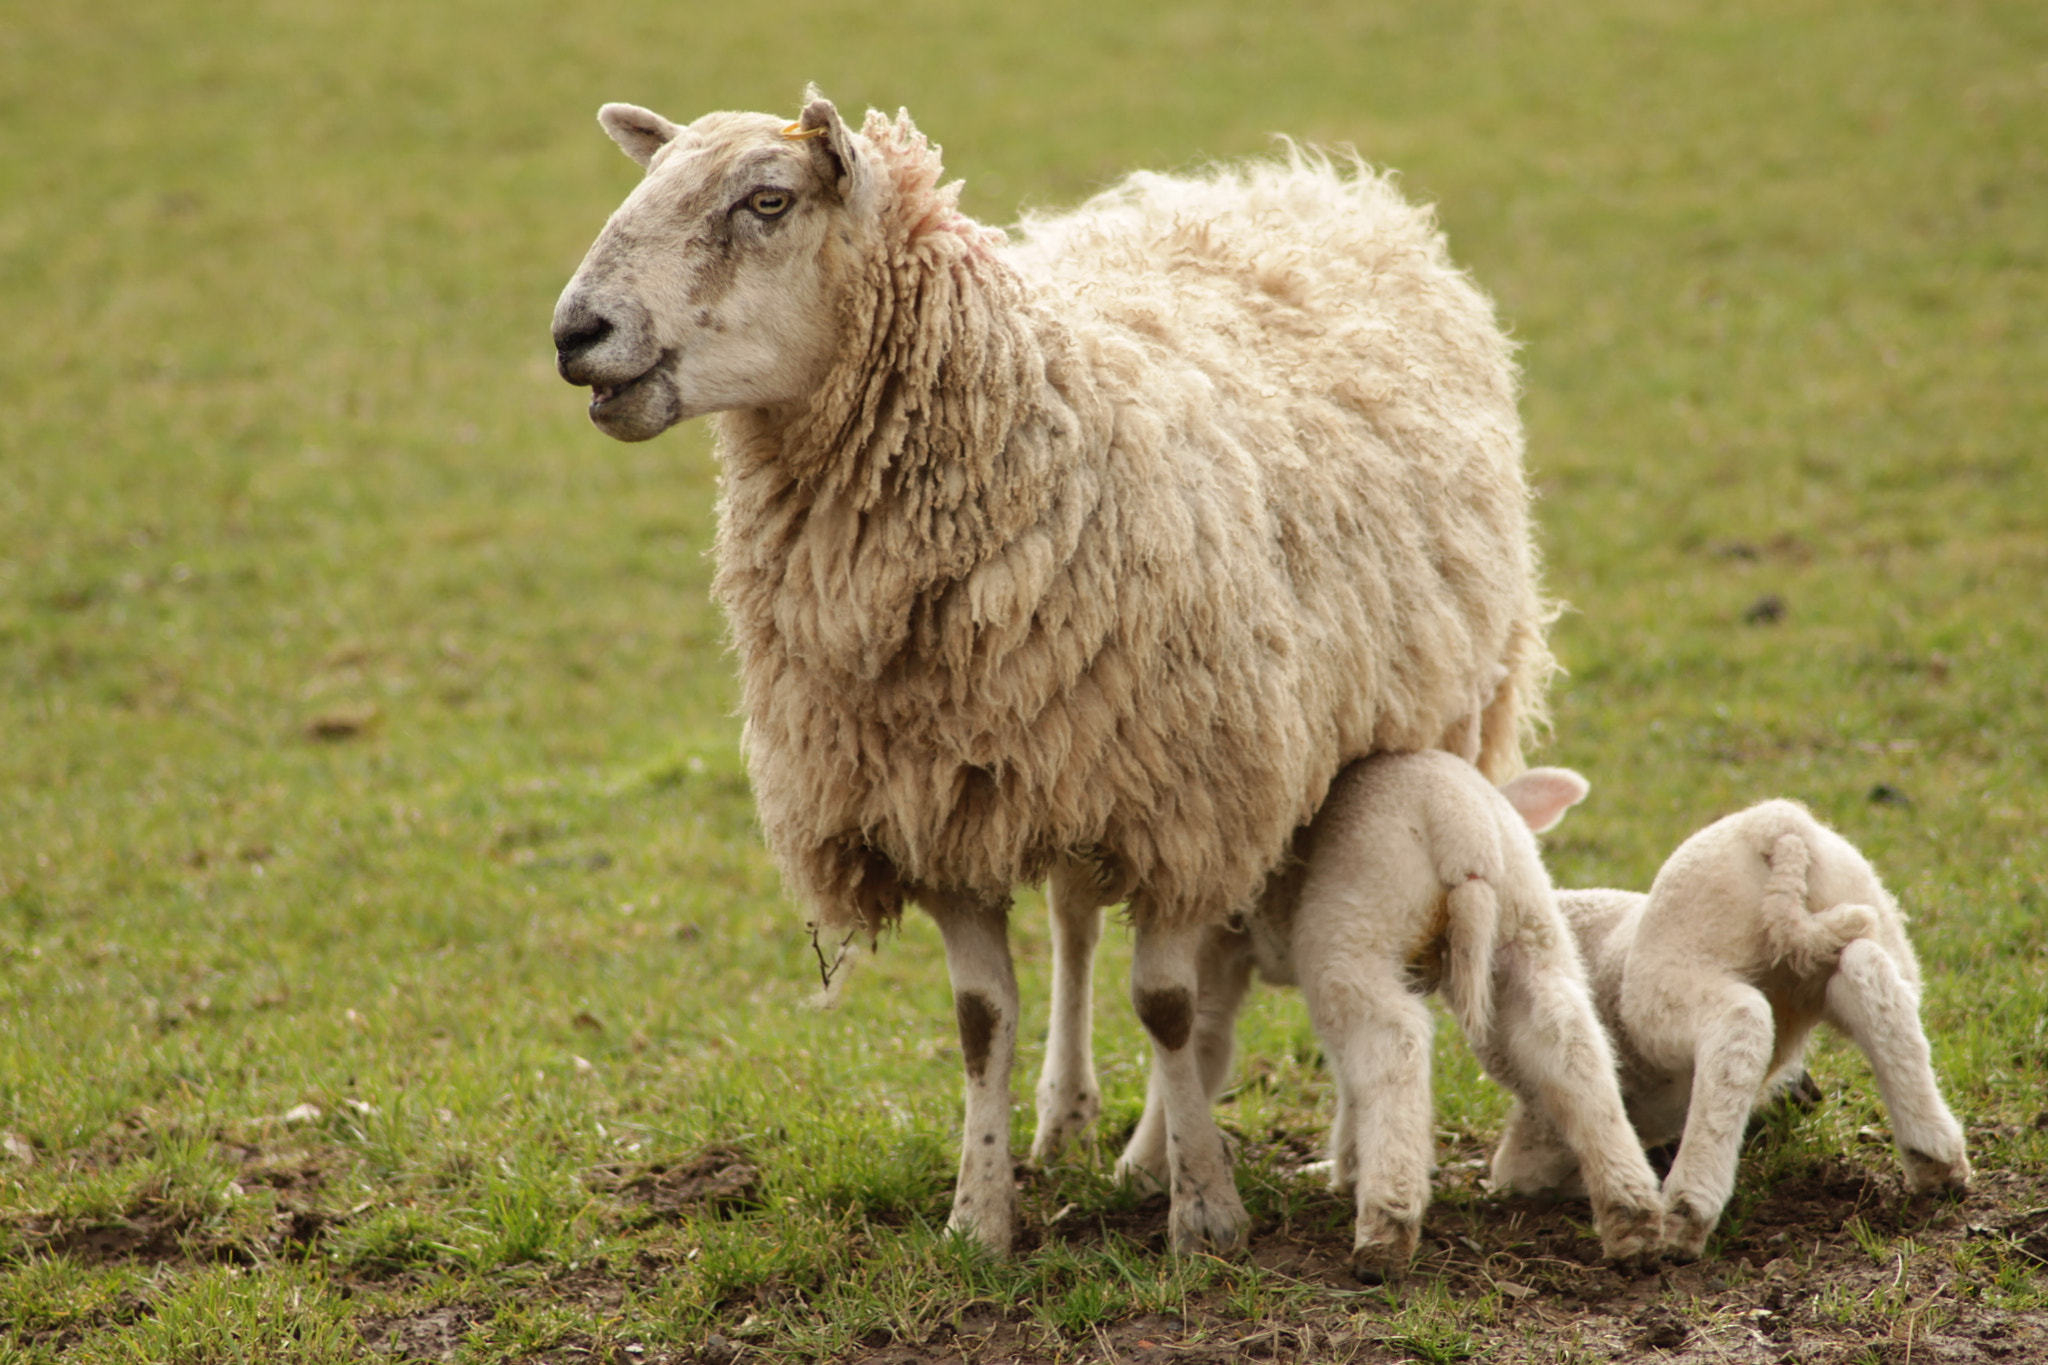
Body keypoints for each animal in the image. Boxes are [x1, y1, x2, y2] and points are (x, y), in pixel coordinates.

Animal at [551, 89, 1554, 1255]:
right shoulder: (932, 803)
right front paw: (978, 1215)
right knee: (1076, 918)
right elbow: (982, 1021)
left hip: (1421, 726)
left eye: (766, 201)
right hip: (1062, 753)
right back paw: (1068, 1114)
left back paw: (1307, 1154)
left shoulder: (1189, 800)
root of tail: (1306, 181)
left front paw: (1203, 1212)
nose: (574, 334)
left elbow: (1166, 1006)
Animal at [1491, 799, 1972, 1259]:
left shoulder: (1542, 1115)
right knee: (1873, 980)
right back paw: (1937, 1158)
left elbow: (1518, 1173)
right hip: (1864, 917)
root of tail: (1776, 827)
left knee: (1740, 1024)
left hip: (1674, 976)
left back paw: (1687, 1210)